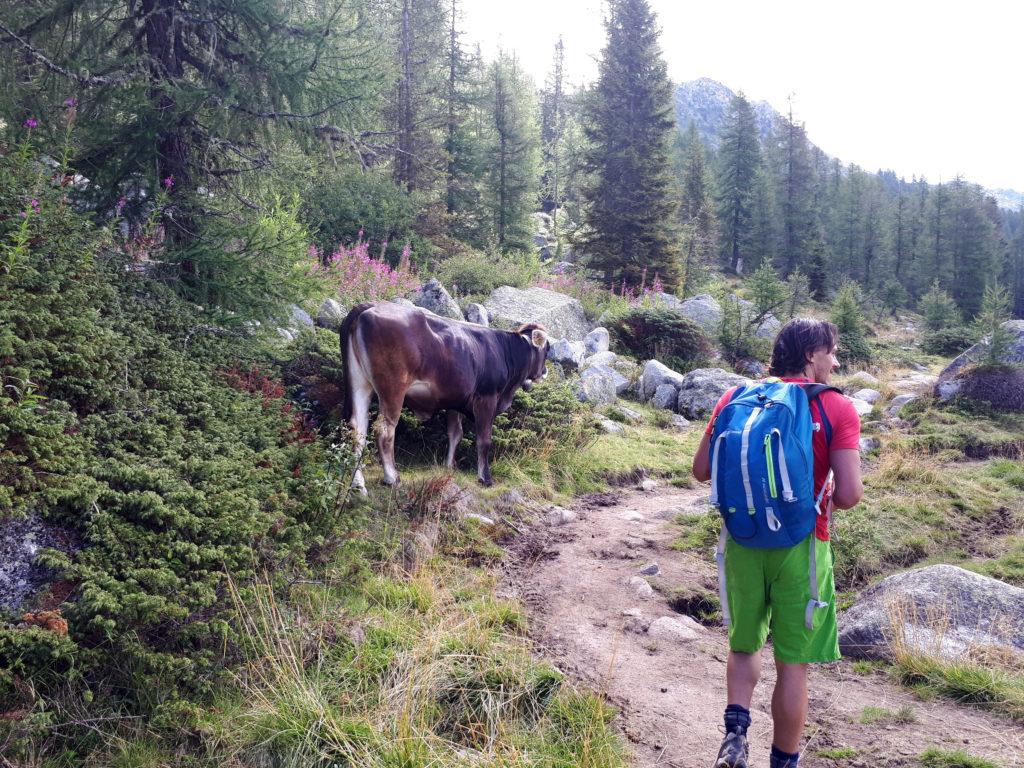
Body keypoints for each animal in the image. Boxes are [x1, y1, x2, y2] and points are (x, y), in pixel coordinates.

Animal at [339, 301, 548, 487]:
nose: (544, 371)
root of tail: (370, 305)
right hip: (392, 387)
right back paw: (391, 478)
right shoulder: (486, 398)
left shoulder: (455, 401)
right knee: (384, 429)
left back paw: (357, 482)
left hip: (360, 383)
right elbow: (484, 440)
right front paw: (485, 478)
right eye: (547, 350)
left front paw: (449, 467)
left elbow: (455, 434)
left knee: (357, 428)